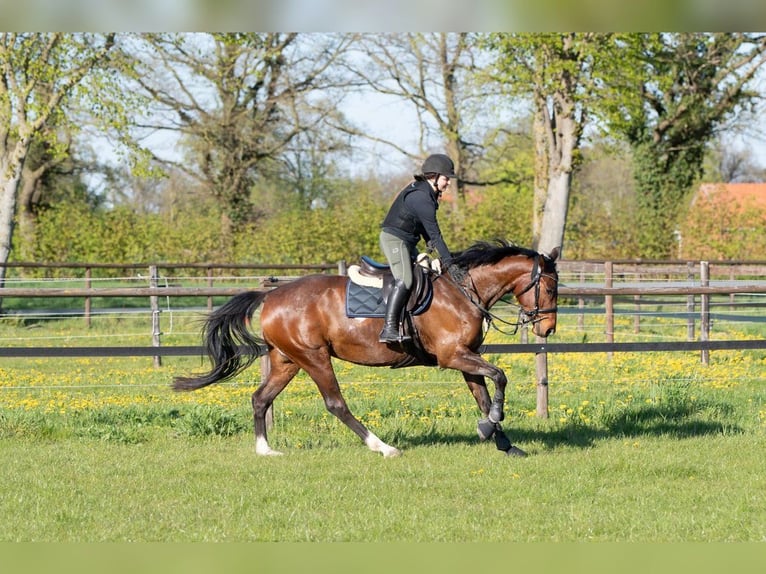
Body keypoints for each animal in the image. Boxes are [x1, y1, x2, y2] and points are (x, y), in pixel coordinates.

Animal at [173, 240, 559, 458]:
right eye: (551, 288)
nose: (548, 329)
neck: (464, 290)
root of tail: (270, 296)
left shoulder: (465, 357)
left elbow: (484, 393)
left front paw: (502, 441)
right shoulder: (452, 356)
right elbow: (500, 376)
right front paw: (491, 424)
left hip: (287, 360)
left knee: (260, 398)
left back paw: (265, 450)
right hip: (313, 357)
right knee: (335, 404)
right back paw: (383, 447)